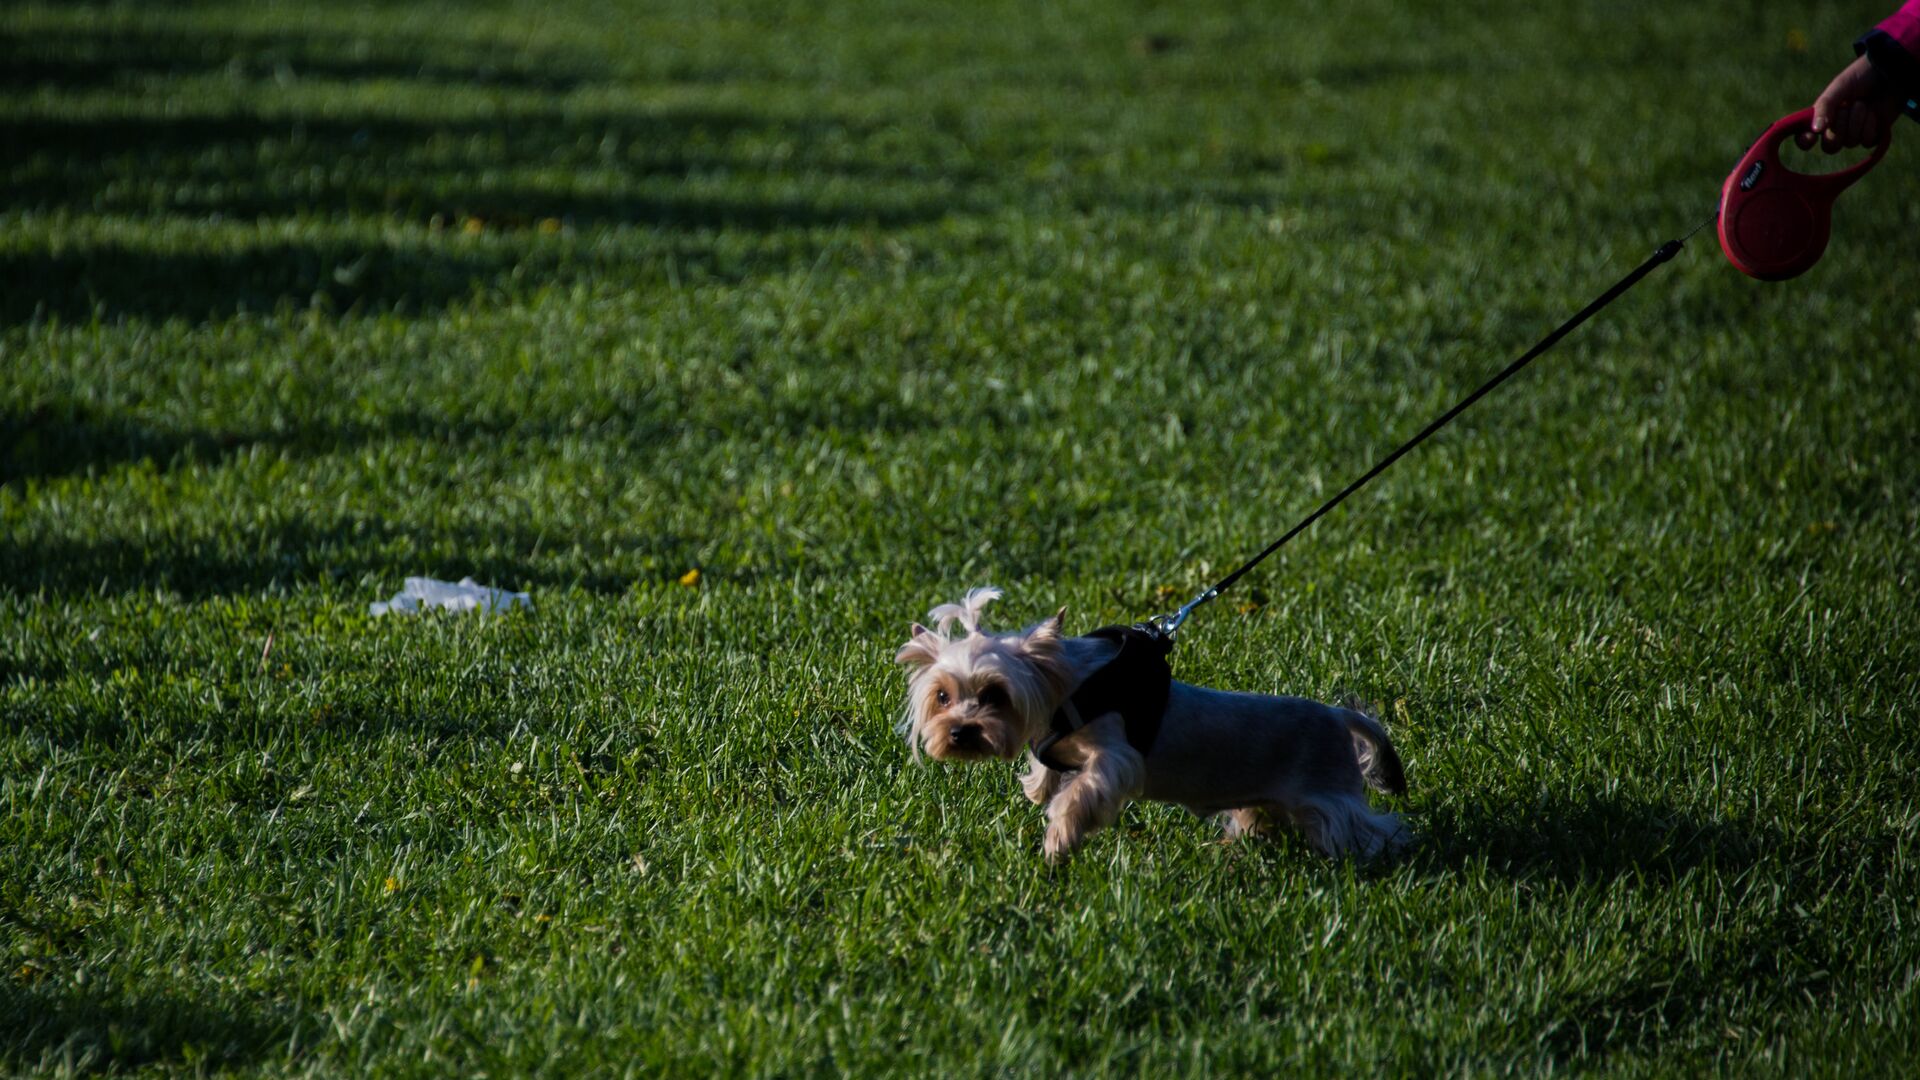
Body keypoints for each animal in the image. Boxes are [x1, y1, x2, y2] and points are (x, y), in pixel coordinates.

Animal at [890, 584, 1405, 860]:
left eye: (995, 694)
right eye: (942, 696)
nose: (960, 733)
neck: (1068, 683)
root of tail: (1340, 715)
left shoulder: (1116, 755)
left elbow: (1084, 790)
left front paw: (1059, 839)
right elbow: (1048, 771)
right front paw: (1038, 788)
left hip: (1328, 793)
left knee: (1368, 828)